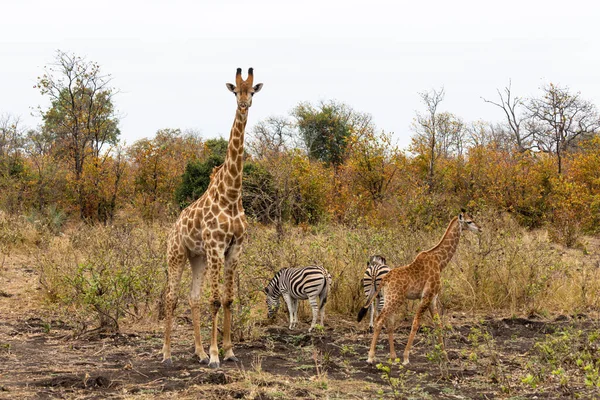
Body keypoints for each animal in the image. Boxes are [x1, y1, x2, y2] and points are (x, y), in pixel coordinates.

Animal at [162, 66, 262, 368]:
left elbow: (228, 300)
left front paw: (227, 351)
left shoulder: (234, 248)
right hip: (177, 255)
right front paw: (216, 356)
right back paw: (167, 353)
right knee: (171, 297)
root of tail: (172, 228)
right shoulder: (217, 246)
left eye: (252, 92)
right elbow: (216, 301)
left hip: (198, 258)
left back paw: (198, 351)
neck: (231, 195)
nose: (244, 105)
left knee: (193, 297)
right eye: (235, 91)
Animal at [358, 211, 480, 364]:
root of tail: (384, 279)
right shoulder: (426, 296)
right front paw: (406, 357)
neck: (439, 261)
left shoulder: (433, 298)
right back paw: (371, 356)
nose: (480, 229)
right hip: (394, 299)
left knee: (387, 321)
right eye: (469, 221)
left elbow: (438, 324)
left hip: (388, 298)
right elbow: (416, 323)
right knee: (380, 320)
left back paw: (391, 356)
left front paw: (445, 356)